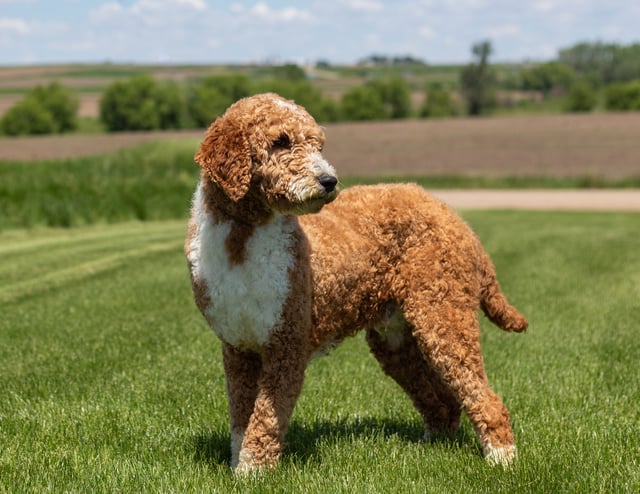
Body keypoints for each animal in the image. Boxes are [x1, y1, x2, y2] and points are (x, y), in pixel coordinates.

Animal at [184, 90, 524, 472]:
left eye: (317, 144)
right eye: (281, 141)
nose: (328, 181)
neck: (242, 237)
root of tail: (453, 216)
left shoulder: (286, 343)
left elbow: (265, 417)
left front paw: (252, 470)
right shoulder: (238, 346)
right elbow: (241, 416)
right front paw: (237, 464)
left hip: (443, 316)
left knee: (483, 395)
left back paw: (502, 457)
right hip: (396, 340)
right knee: (442, 400)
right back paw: (433, 445)